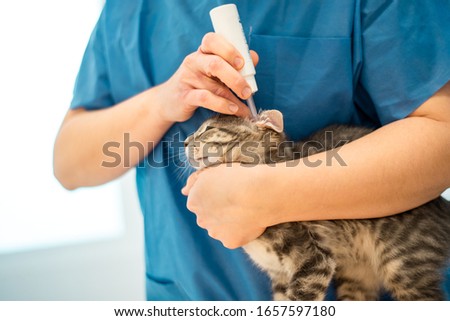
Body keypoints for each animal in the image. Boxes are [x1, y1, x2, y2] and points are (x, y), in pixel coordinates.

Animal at [184, 110, 450, 300]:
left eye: (207, 130)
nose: (185, 141)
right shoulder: (281, 277)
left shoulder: (314, 261)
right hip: (356, 278)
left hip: (405, 265)